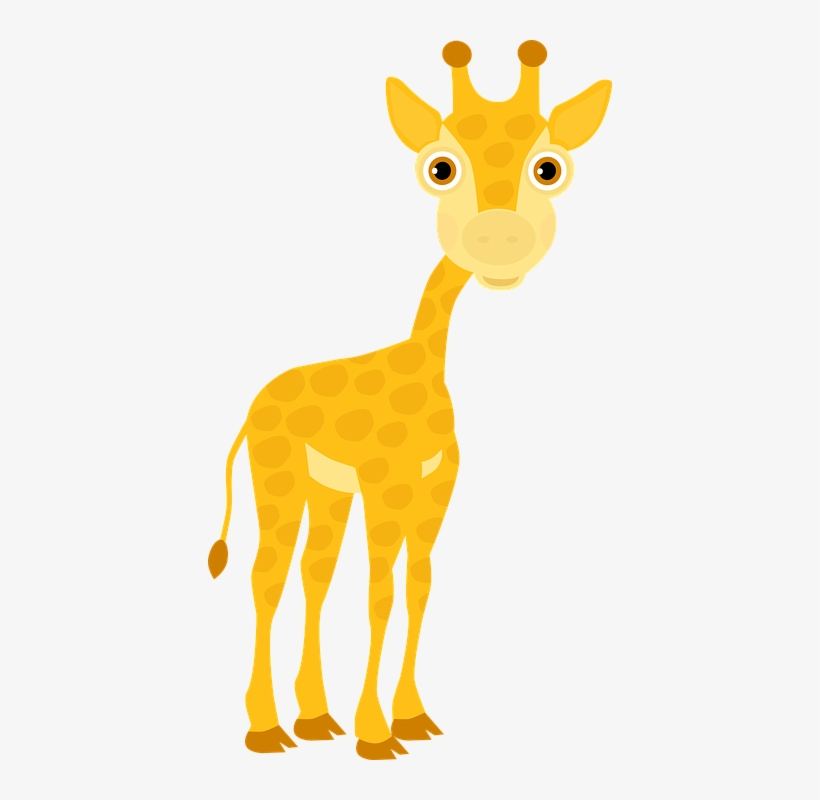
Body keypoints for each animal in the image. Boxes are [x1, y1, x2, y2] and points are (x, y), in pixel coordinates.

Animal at [207, 40, 611, 760]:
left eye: (549, 168)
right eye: (440, 168)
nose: (499, 239)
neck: (428, 365)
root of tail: (252, 408)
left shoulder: (435, 486)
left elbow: (418, 585)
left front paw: (412, 719)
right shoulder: (385, 483)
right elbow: (381, 590)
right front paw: (375, 735)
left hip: (326, 489)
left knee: (313, 574)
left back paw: (314, 719)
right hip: (277, 476)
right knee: (267, 575)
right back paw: (266, 729)